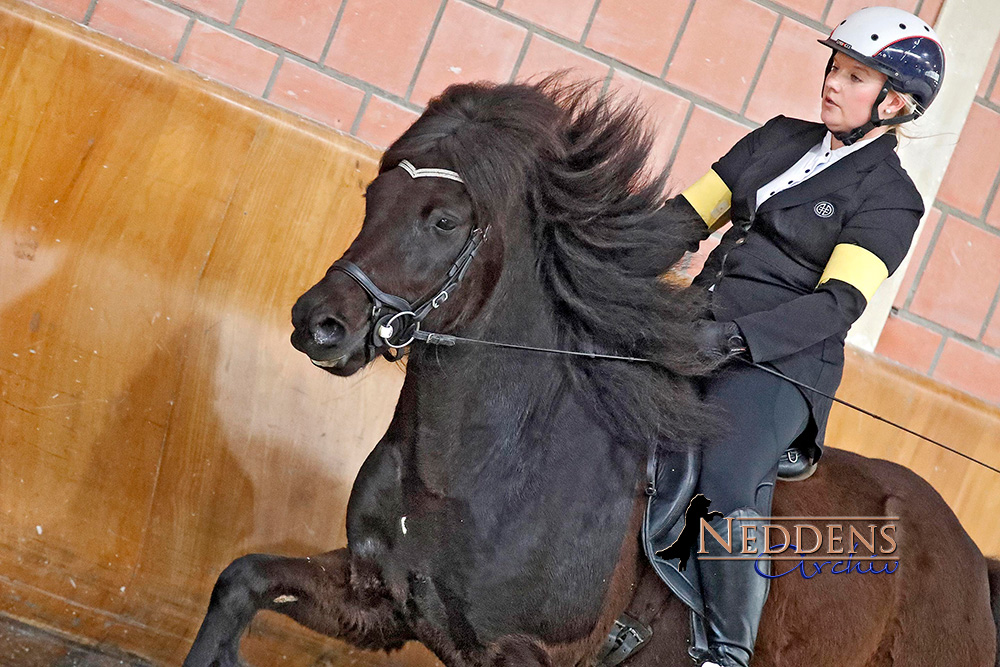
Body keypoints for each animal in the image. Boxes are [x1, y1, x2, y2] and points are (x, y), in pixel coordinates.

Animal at [186, 78, 1000, 667]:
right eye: (371, 197)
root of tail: (969, 561)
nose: (318, 324)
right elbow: (240, 580)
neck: (484, 467)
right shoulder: (378, 601)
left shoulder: (524, 655)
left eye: (443, 220)